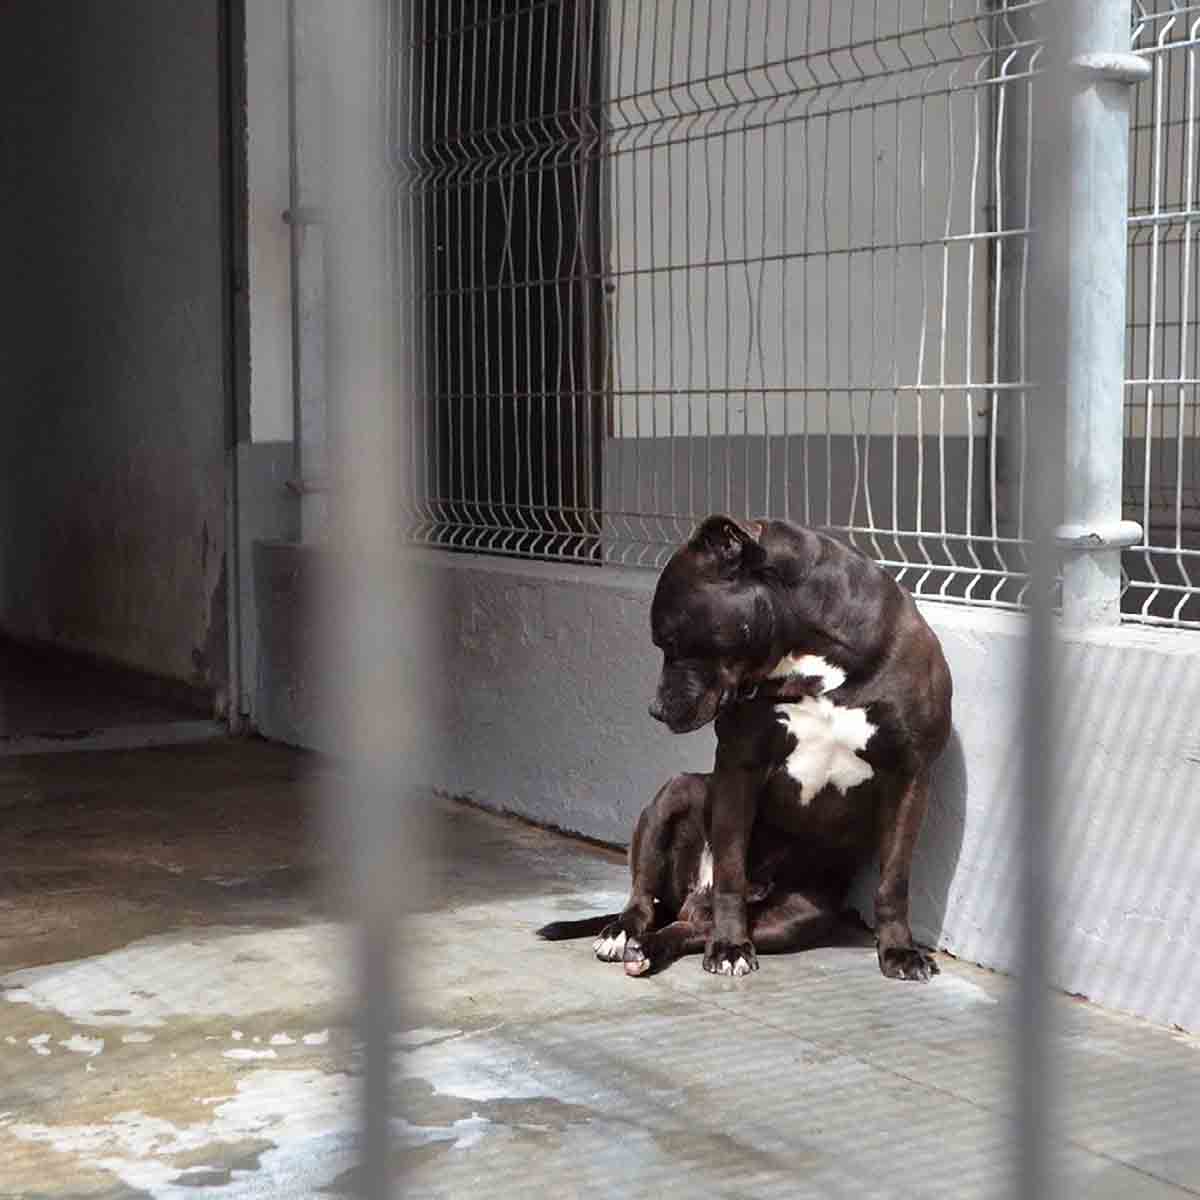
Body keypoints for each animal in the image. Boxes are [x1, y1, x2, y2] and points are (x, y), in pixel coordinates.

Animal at [540, 511, 950, 979]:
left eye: (669, 639)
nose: (655, 710)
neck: (815, 657)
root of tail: (688, 901)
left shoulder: (910, 774)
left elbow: (894, 879)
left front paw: (899, 950)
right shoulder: (739, 766)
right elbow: (731, 870)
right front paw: (731, 946)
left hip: (795, 915)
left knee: (689, 927)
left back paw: (650, 948)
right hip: (675, 793)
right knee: (646, 894)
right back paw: (625, 932)